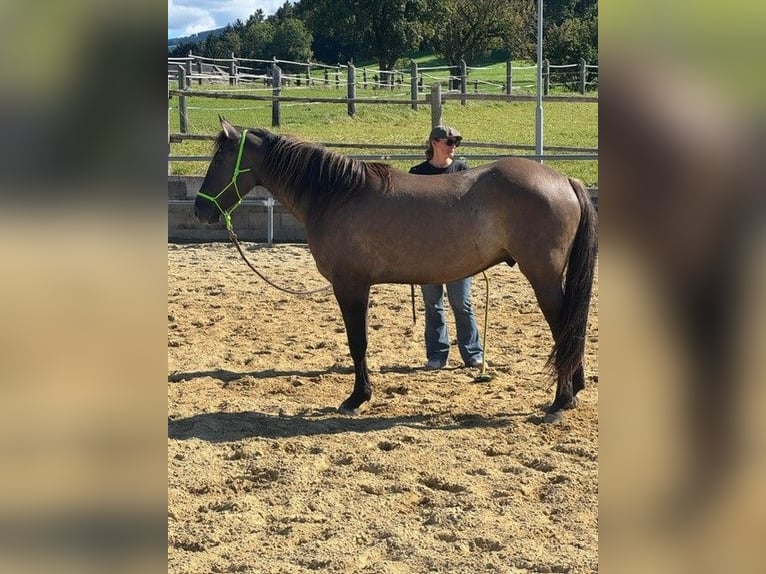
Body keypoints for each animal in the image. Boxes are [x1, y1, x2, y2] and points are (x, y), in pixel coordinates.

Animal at [194, 117, 597, 423]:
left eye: (220, 157)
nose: (201, 210)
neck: (337, 195)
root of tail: (565, 181)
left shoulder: (351, 285)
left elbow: (358, 342)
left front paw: (357, 398)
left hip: (544, 277)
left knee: (564, 329)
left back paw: (560, 401)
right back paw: (573, 391)